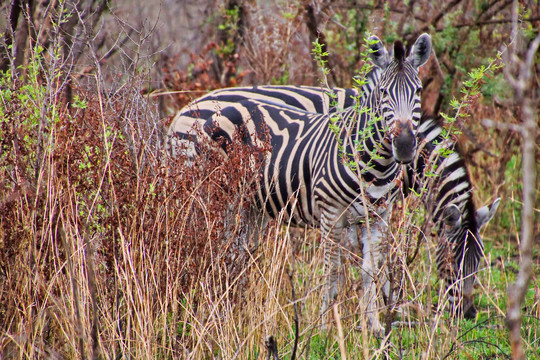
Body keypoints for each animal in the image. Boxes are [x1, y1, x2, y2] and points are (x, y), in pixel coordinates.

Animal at [167, 33, 432, 334]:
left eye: (418, 91)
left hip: (247, 206)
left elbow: (370, 270)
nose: (405, 146)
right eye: (384, 93)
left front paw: (374, 328)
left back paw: (233, 314)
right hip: (207, 196)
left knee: (234, 257)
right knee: (200, 250)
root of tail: (186, 111)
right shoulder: (331, 214)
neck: (375, 164)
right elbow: (331, 272)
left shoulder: (378, 216)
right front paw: (325, 330)